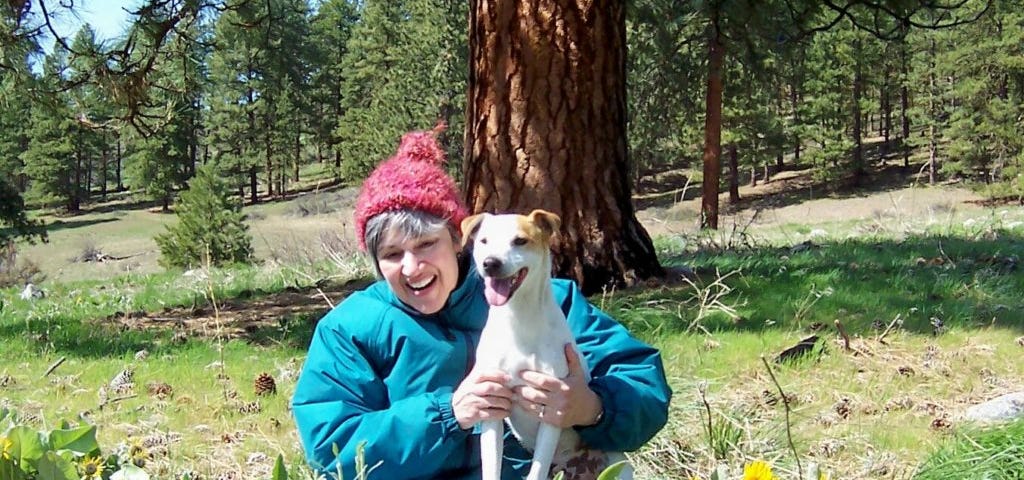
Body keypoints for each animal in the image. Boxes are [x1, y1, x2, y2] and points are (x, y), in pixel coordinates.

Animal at [462, 210, 622, 478]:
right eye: (483, 241)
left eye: (520, 241)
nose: (490, 263)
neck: (519, 321)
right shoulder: (492, 406)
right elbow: (492, 466)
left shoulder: (553, 410)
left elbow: (536, 470)